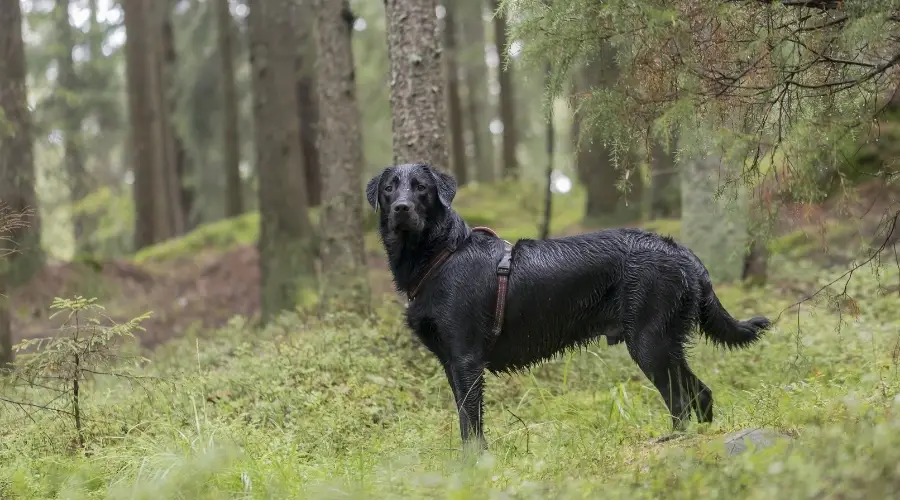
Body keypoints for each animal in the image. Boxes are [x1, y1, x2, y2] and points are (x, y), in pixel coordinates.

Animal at [366, 162, 772, 448]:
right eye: (389, 188)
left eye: (421, 188)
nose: (401, 208)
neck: (440, 255)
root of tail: (680, 250)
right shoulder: (451, 362)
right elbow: (466, 418)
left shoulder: (465, 359)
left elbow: (471, 423)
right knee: (698, 396)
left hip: (650, 342)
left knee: (684, 397)